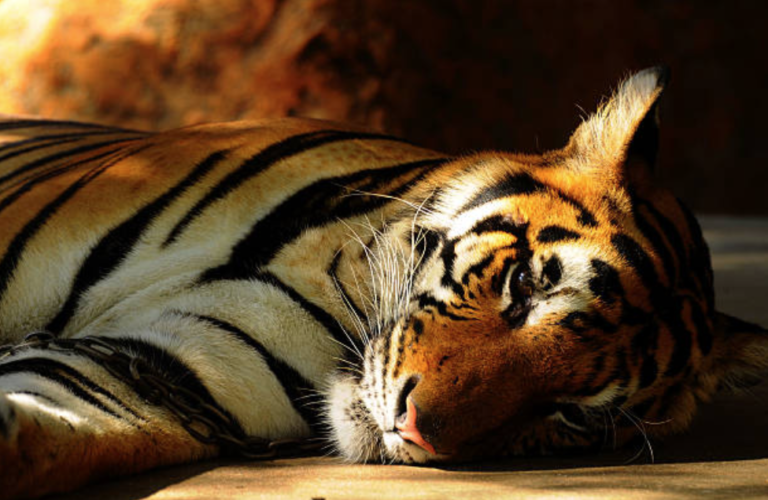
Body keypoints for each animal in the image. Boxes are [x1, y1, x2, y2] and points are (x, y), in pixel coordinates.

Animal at [0, 66, 765, 499]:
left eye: (574, 413)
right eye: (523, 284)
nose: (414, 427)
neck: (338, 298)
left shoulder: (172, 369)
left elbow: (63, 428)